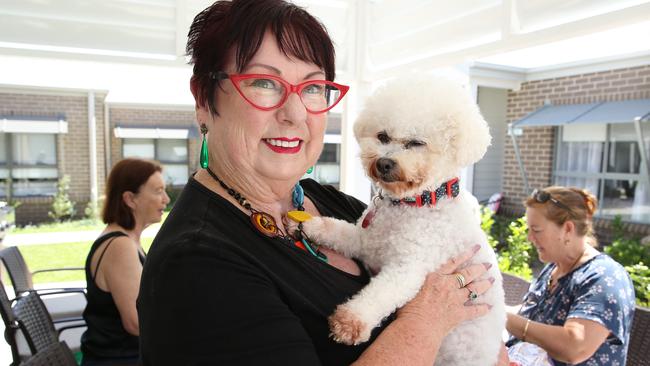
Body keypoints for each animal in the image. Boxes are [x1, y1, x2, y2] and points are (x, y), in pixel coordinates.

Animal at [300, 76, 506, 364]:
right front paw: (313, 225)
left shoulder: (408, 267)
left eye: (417, 143)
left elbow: (382, 292)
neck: (413, 203)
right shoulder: (366, 241)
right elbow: (340, 232)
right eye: (383, 136)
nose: (384, 163)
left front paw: (351, 321)